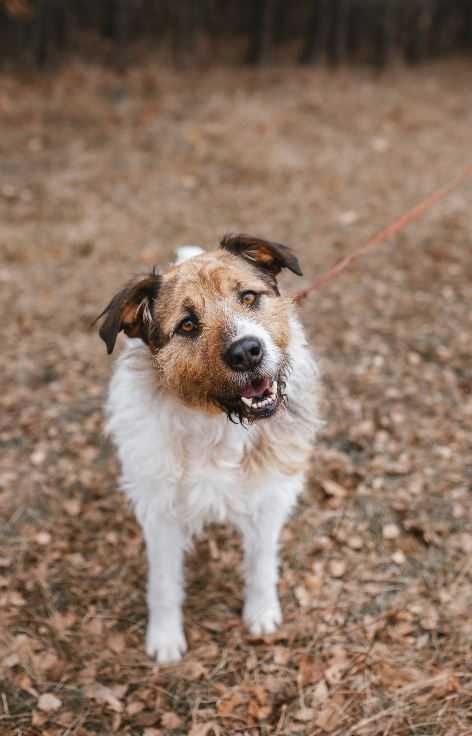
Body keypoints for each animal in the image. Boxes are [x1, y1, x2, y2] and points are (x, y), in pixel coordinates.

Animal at [97, 237, 322, 668]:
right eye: (187, 325)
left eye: (248, 297)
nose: (247, 351)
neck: (218, 421)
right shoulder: (161, 512)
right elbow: (164, 582)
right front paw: (165, 639)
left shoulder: (269, 496)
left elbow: (260, 562)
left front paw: (261, 613)